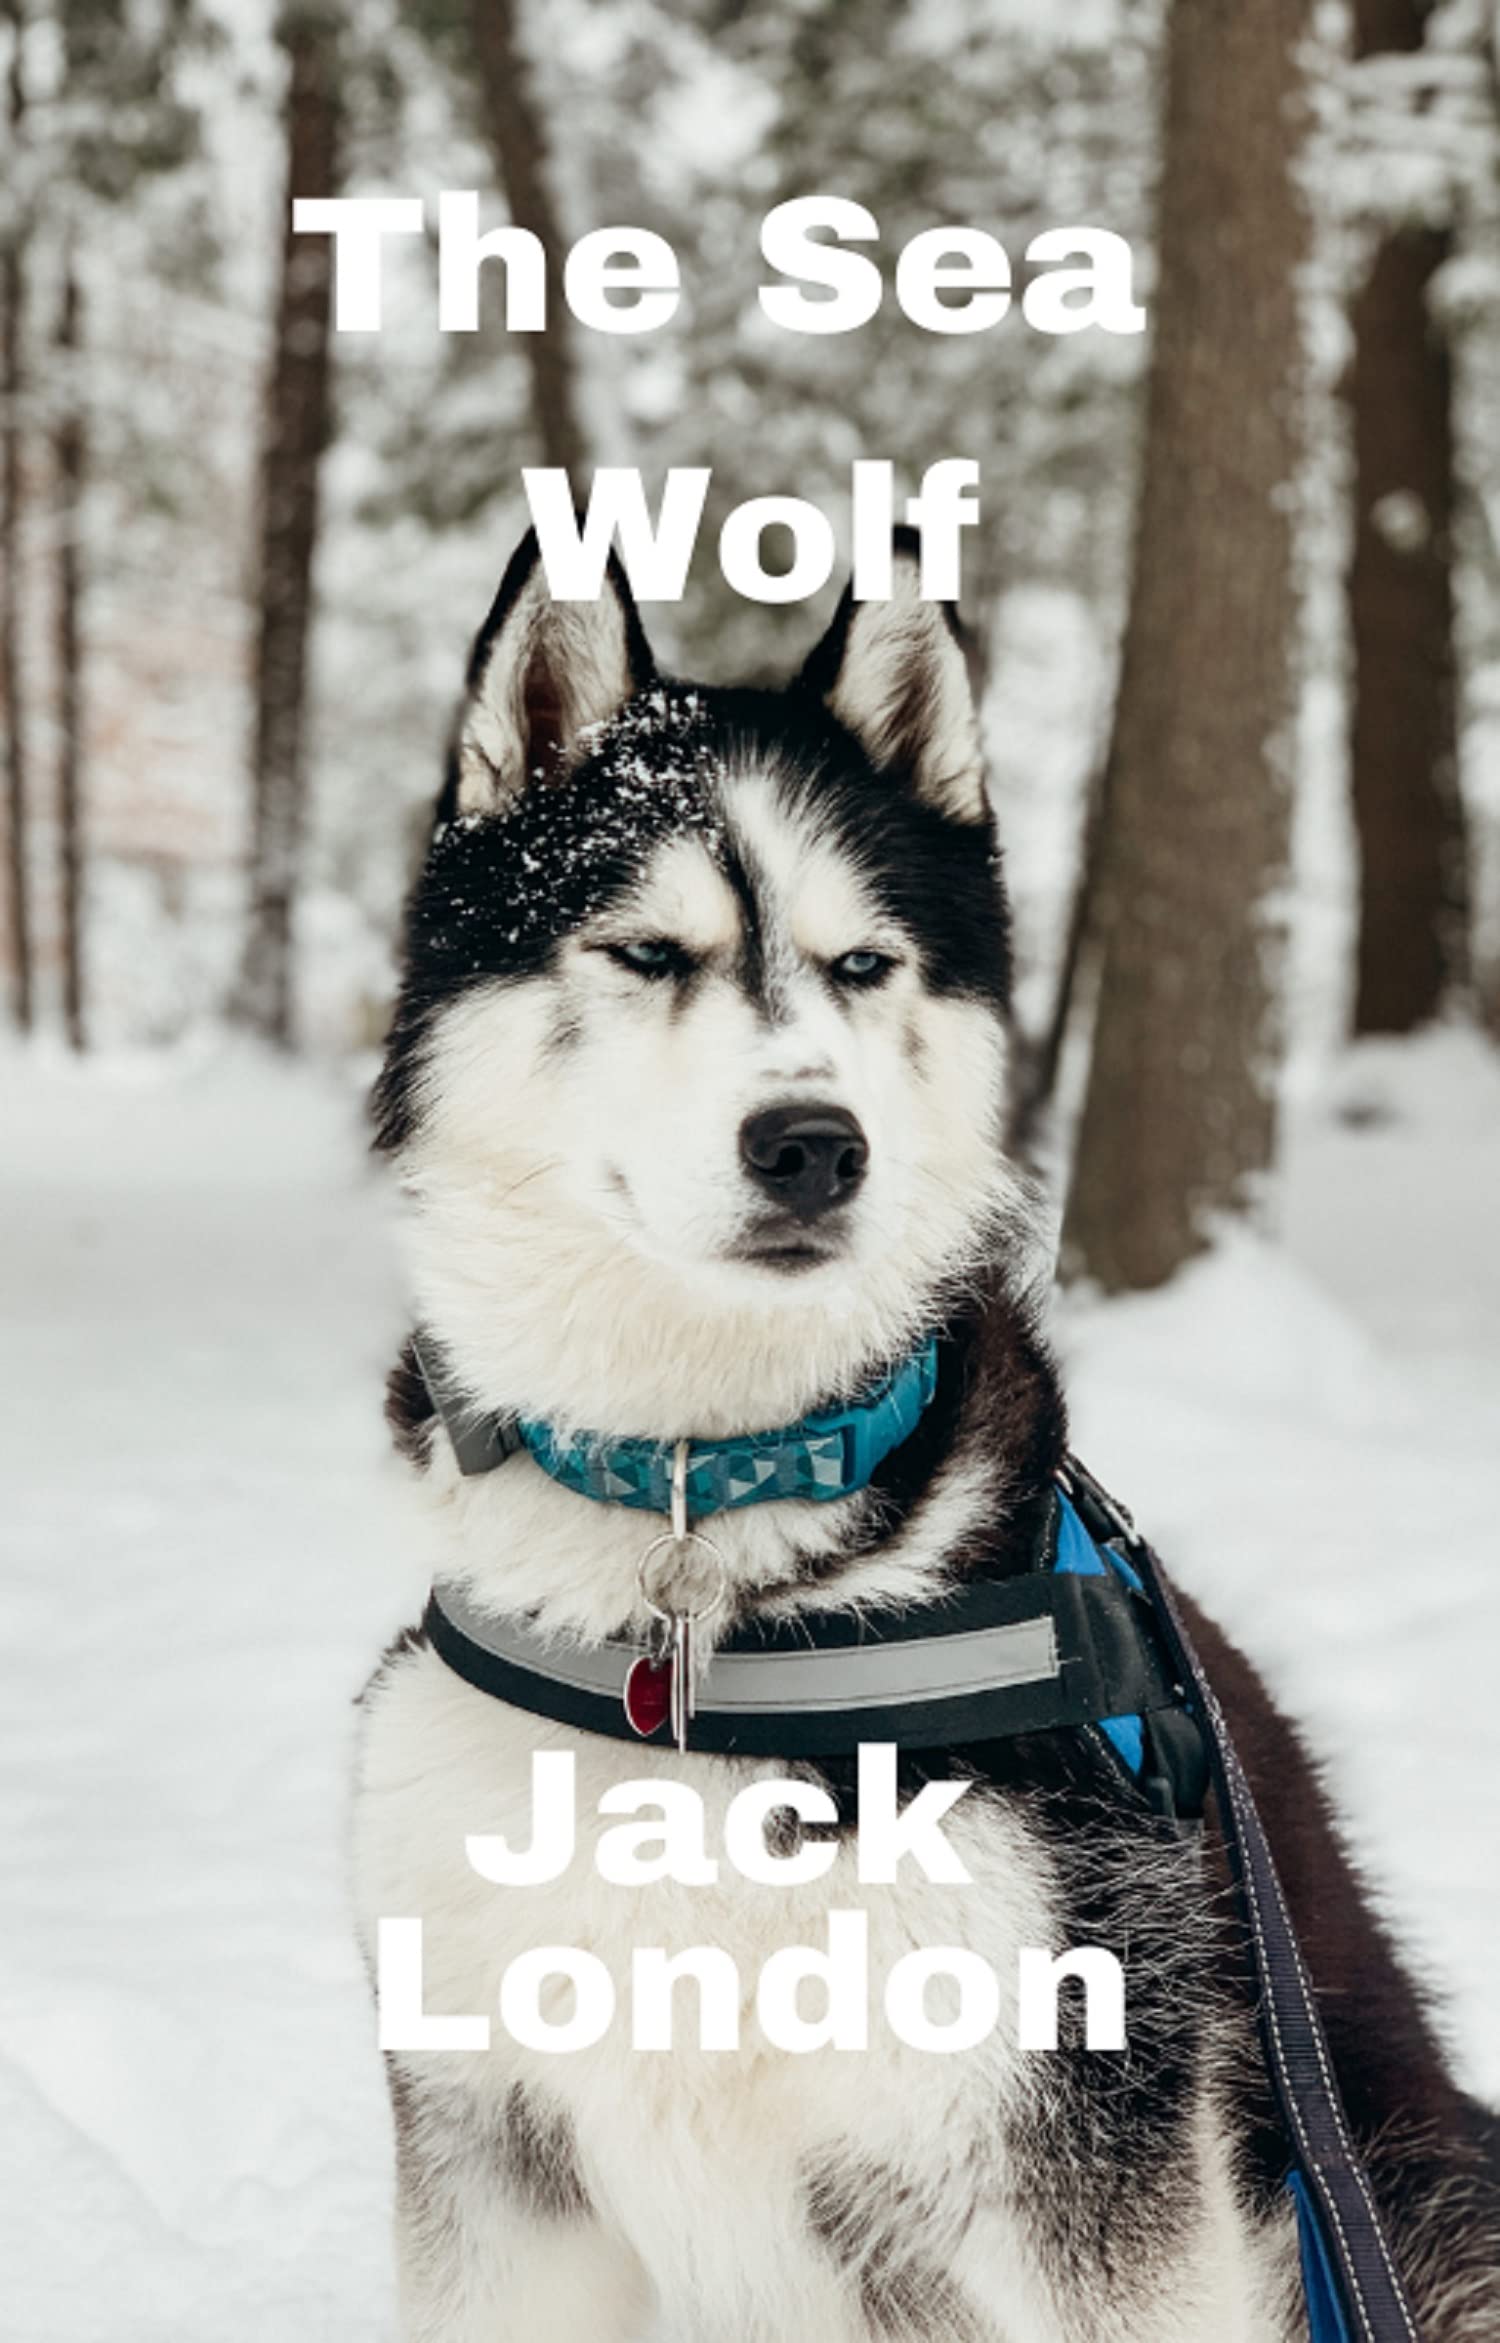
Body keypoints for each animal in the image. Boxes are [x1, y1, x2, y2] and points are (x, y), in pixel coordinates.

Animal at [354, 526, 1499, 2342]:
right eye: (648, 952)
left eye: (863, 963)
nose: (814, 1142)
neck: (701, 1555)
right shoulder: (490, 2147)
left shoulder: (1097, 2159)